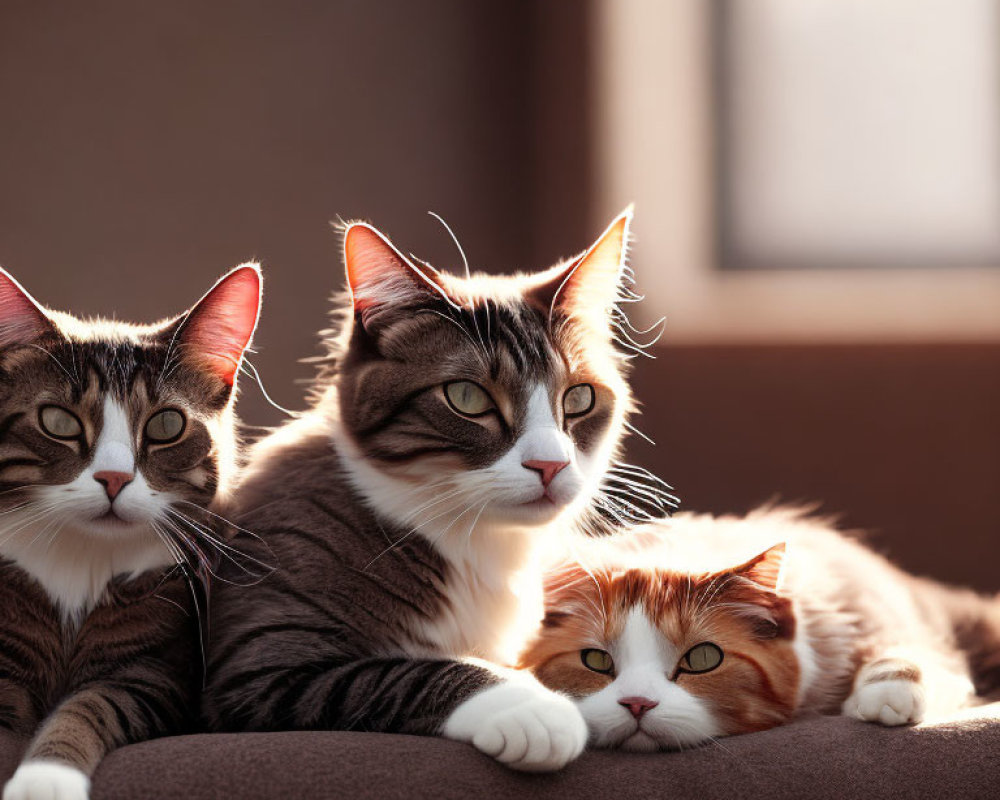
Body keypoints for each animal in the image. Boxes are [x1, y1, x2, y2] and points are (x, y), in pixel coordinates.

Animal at [0, 264, 262, 800]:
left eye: (166, 426)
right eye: (57, 421)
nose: (114, 478)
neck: (81, 557)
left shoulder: (153, 671)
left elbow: (89, 708)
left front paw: (45, 778)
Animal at [201, 209, 672, 772]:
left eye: (579, 398)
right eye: (467, 397)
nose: (550, 465)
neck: (472, 543)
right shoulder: (259, 662)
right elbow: (406, 671)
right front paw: (531, 708)